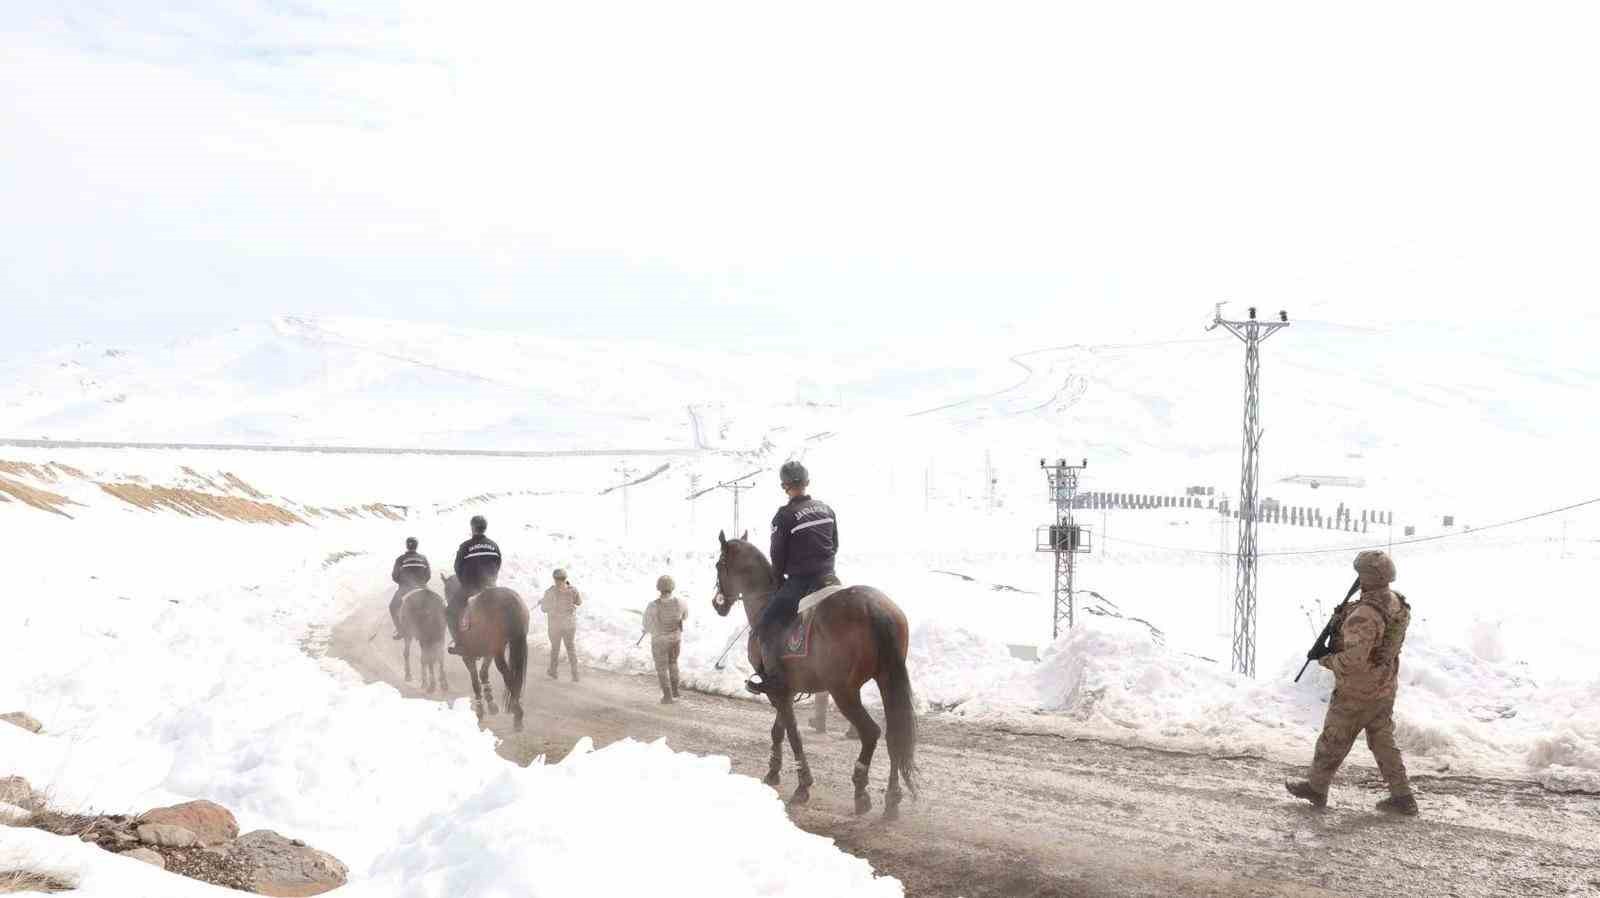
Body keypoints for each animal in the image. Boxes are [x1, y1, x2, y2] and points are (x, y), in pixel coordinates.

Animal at [444, 573, 531, 729]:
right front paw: (491, 703)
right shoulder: (489, 652)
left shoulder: (467, 655)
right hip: (514, 642)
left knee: (508, 676)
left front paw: (480, 710)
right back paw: (516, 711)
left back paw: (517, 711)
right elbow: (483, 673)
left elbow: (475, 680)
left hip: (498, 650)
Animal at [710, 531, 921, 819]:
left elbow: (792, 733)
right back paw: (892, 799)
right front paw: (773, 771)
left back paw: (861, 790)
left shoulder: (777, 690)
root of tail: (875, 608)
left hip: (843, 691)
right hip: (887, 679)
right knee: (894, 737)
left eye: (719, 564)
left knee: (871, 732)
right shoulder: (785, 689)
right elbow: (778, 730)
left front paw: (802, 785)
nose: (717, 603)